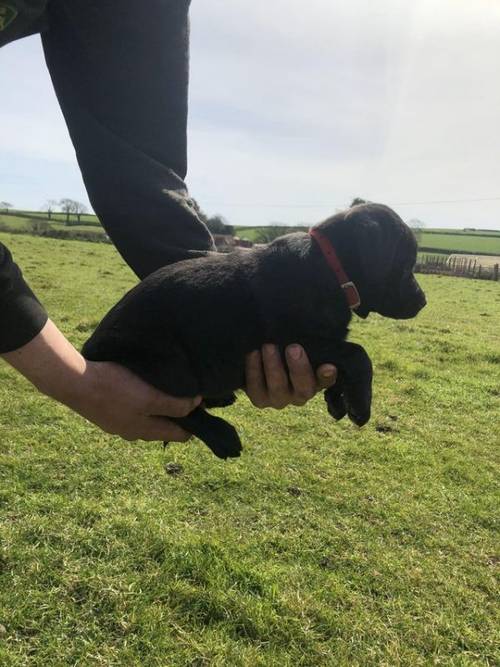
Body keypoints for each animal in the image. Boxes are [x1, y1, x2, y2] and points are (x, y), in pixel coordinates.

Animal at [82, 204, 426, 460]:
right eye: (406, 263)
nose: (423, 301)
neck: (329, 268)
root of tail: (89, 350)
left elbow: (344, 361)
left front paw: (338, 400)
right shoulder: (297, 341)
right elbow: (358, 354)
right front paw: (360, 406)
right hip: (173, 366)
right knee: (175, 410)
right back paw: (221, 434)